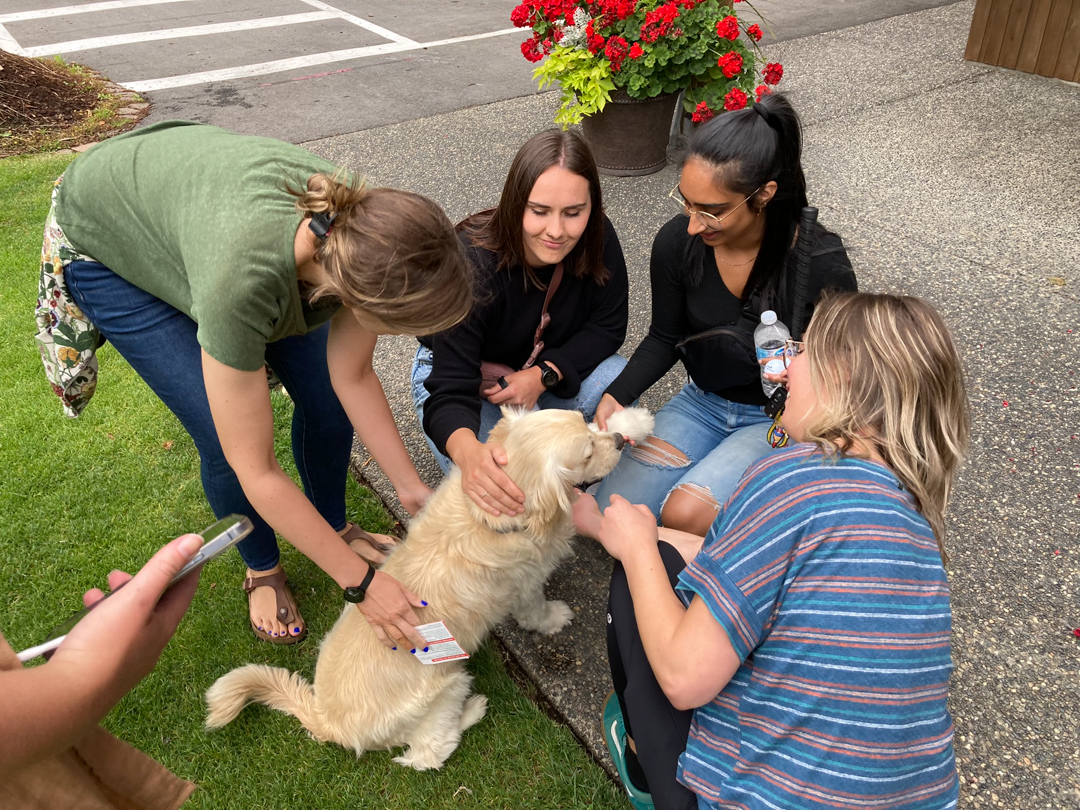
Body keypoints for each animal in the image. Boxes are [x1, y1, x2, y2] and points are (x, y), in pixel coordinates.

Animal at [206, 406, 652, 773]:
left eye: (586, 423)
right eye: (587, 454)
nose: (616, 443)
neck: (485, 516)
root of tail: (325, 718)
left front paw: (631, 422)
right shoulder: (526, 582)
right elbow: (536, 609)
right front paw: (554, 618)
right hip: (447, 685)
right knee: (427, 754)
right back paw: (472, 710)